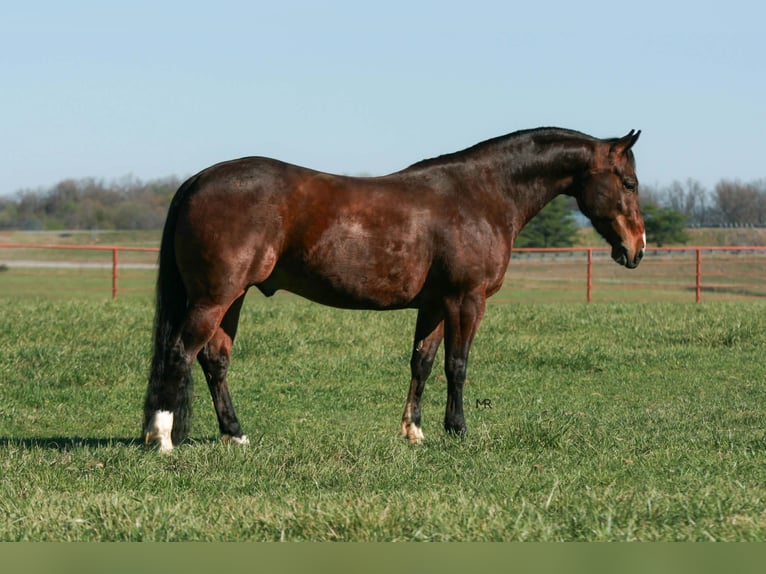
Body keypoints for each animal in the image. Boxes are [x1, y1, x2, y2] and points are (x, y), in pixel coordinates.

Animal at [143, 127, 645, 452]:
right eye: (629, 182)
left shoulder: (436, 305)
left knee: (214, 360)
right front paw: (457, 430)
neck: (481, 195)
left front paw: (414, 431)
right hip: (214, 297)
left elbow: (423, 362)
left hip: (230, 298)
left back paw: (235, 434)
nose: (636, 248)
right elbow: (457, 365)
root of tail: (199, 180)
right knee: (181, 352)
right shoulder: (467, 300)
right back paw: (162, 438)